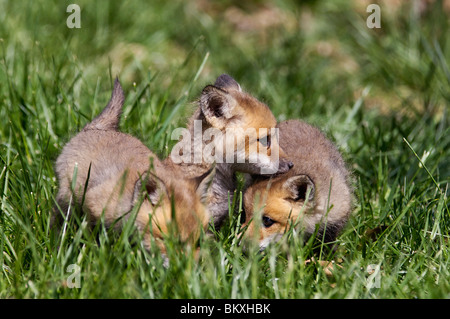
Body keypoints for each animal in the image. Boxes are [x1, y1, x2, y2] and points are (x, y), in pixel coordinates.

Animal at [53, 79, 212, 255]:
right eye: (169, 241)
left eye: (199, 242)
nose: (189, 264)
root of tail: (95, 128)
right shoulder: (94, 204)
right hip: (68, 197)